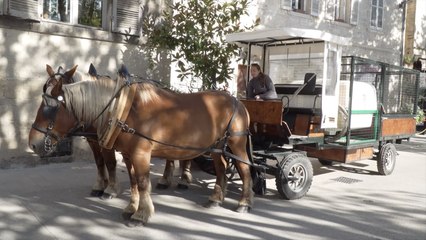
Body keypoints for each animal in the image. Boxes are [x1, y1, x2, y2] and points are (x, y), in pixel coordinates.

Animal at [28, 65, 255, 225]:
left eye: (50, 107)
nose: (33, 144)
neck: (124, 109)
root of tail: (237, 101)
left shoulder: (141, 154)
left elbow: (142, 182)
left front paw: (141, 214)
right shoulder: (127, 154)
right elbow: (132, 181)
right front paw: (131, 208)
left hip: (236, 143)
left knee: (244, 169)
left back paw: (244, 202)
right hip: (217, 146)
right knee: (222, 168)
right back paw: (216, 198)